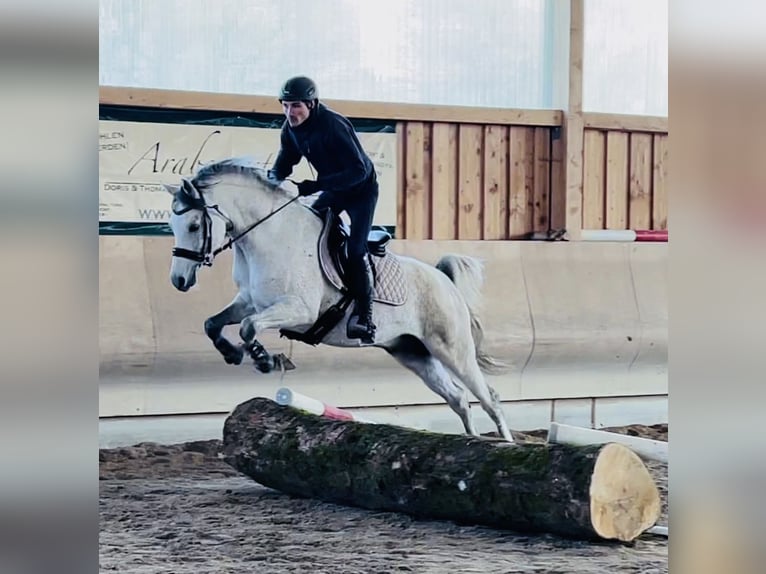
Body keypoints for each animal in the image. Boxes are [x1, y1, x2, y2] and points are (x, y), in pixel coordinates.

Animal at [166, 160, 516, 444]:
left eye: (194, 225)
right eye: (172, 226)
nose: (179, 281)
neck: (270, 238)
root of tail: (445, 280)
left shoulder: (298, 311)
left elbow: (249, 328)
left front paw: (265, 359)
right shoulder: (249, 302)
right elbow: (213, 324)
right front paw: (233, 353)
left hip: (452, 349)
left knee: (489, 397)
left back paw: (505, 445)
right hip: (413, 353)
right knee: (458, 398)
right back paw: (471, 443)